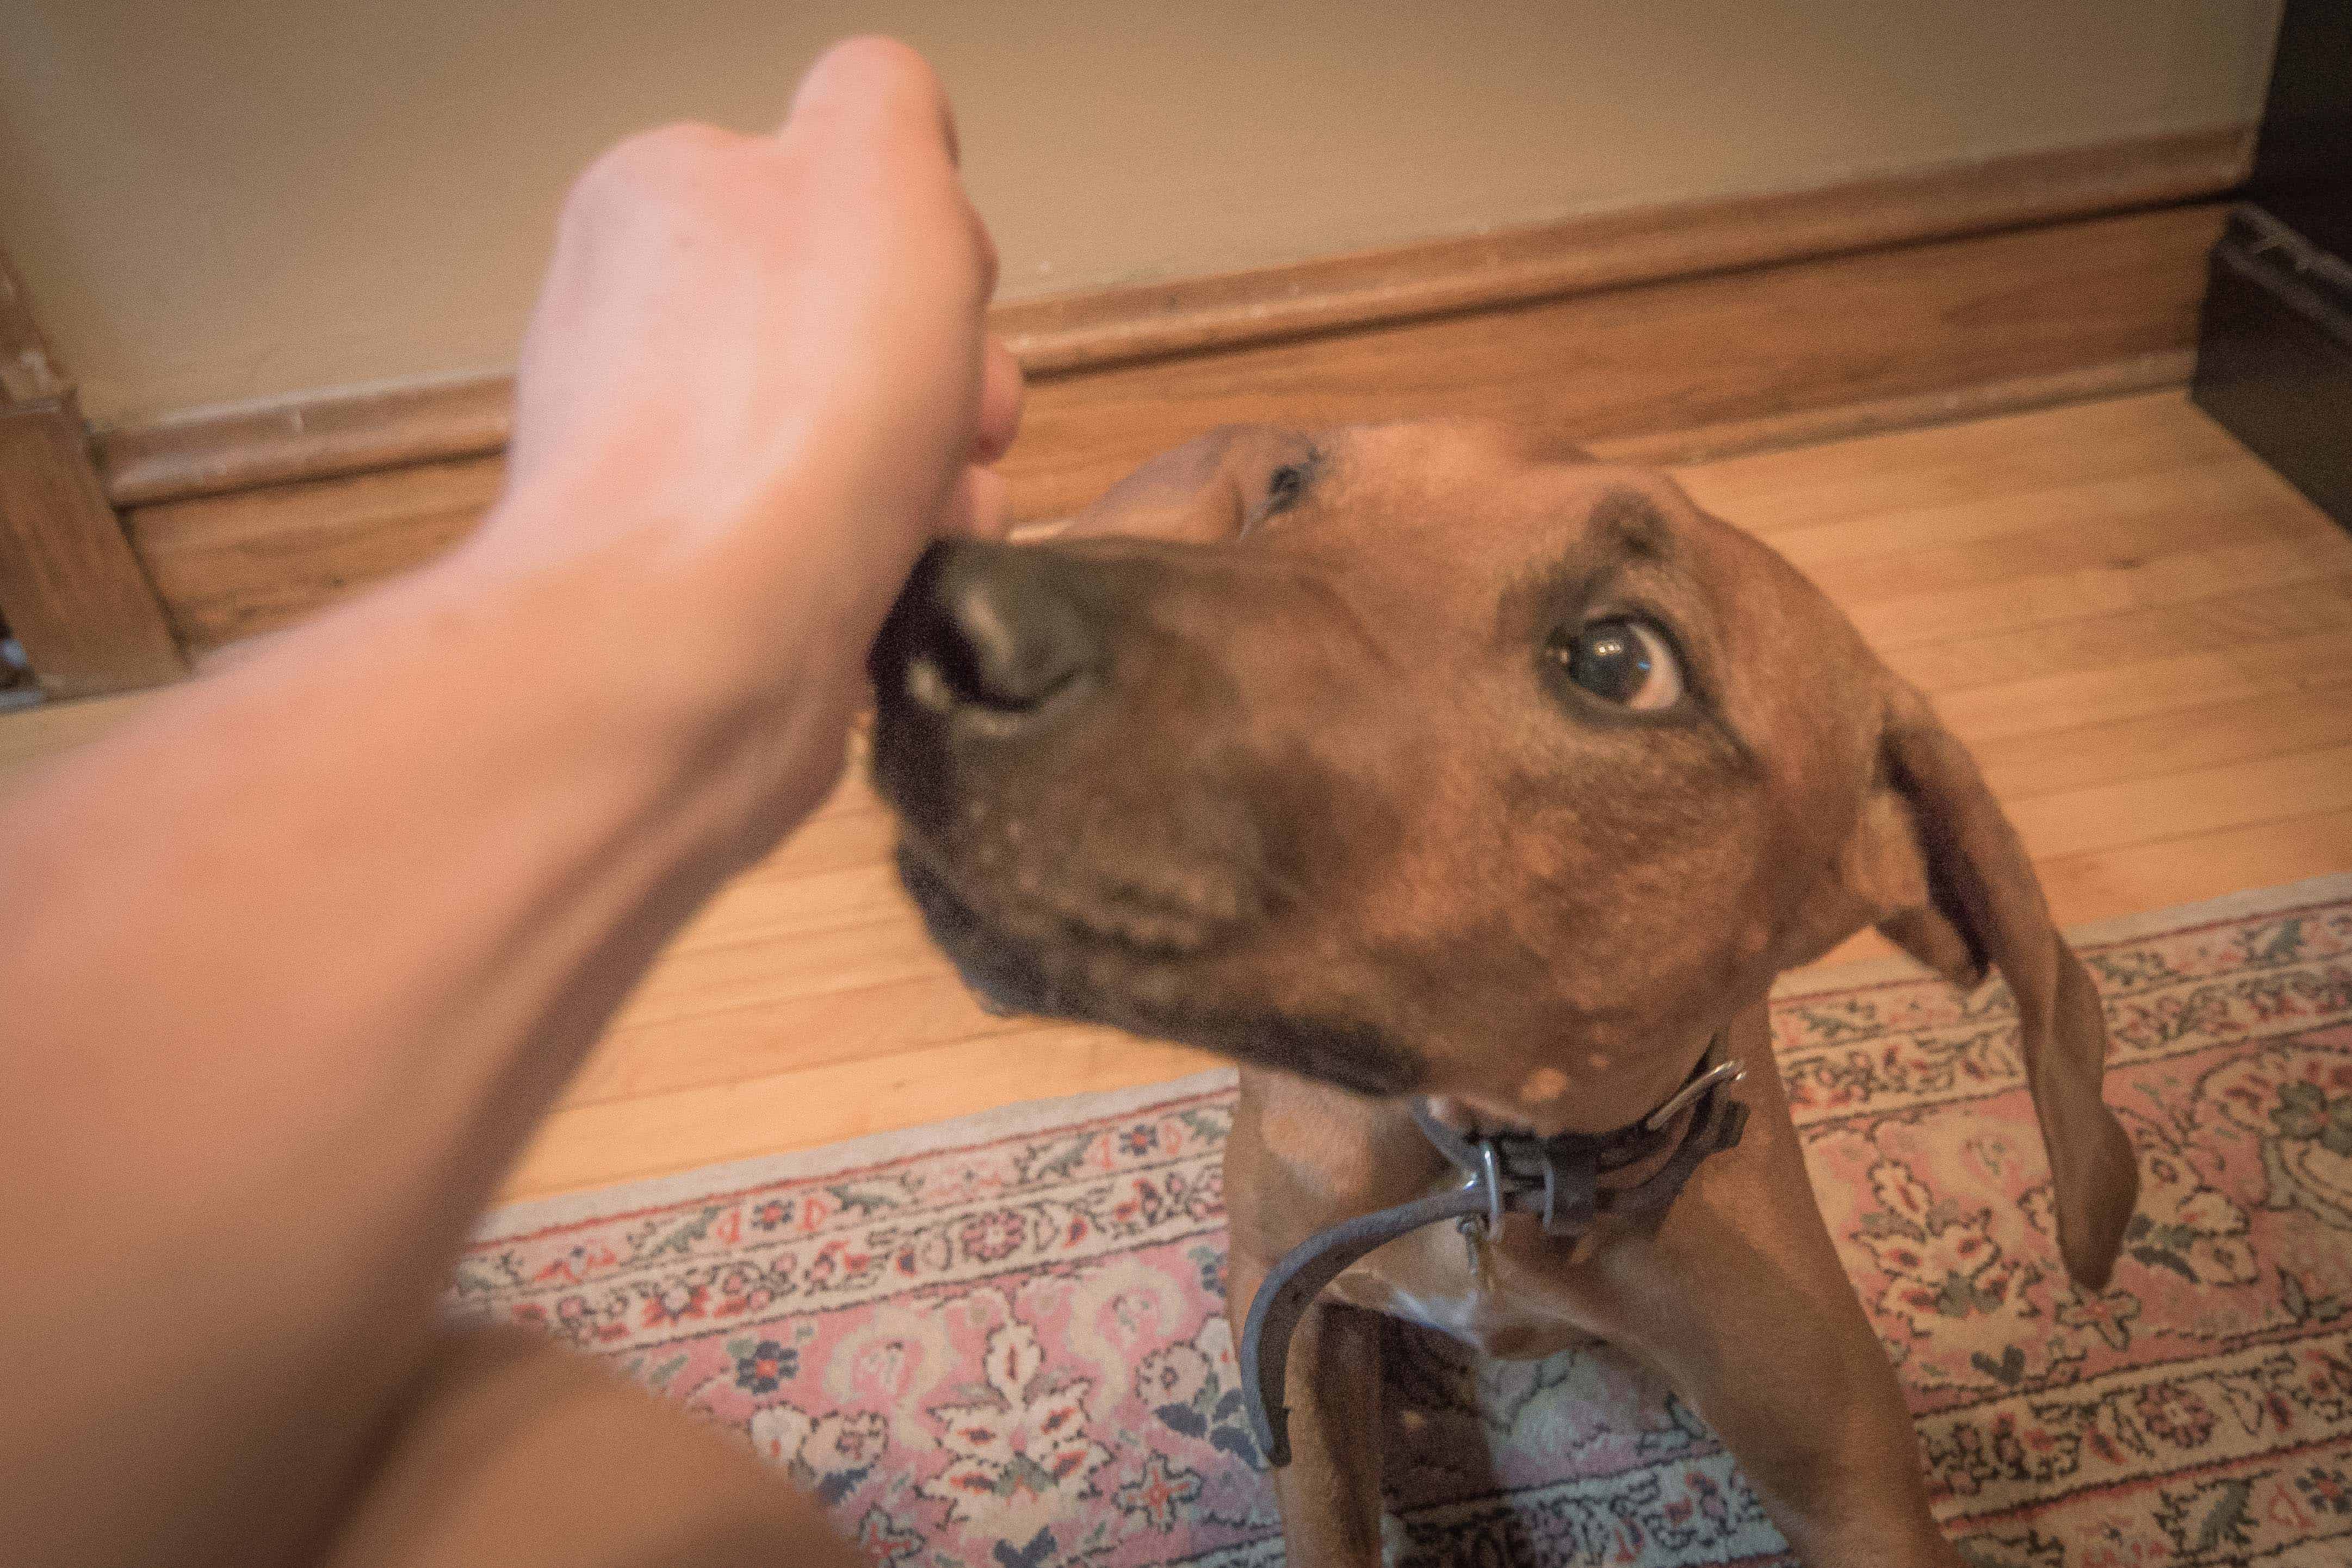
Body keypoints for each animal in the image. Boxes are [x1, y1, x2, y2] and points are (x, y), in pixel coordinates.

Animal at [870, 423, 2154, 1568]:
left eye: (1618, 661)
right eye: (1289, 488)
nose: (935, 617)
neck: (1495, 1164)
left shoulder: (1844, 1467)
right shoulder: (1281, 1313)